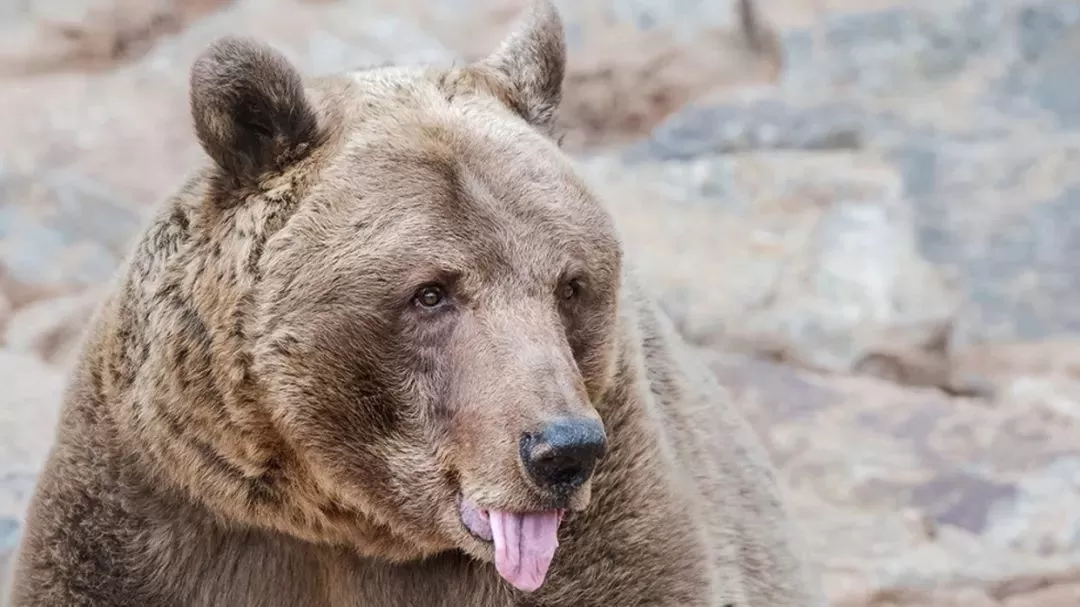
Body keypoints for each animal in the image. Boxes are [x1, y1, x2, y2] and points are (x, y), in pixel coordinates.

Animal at [5, 2, 822, 605]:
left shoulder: (617, 515)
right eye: (431, 292)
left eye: (569, 283)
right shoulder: (160, 509)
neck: (343, 525)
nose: (562, 449)